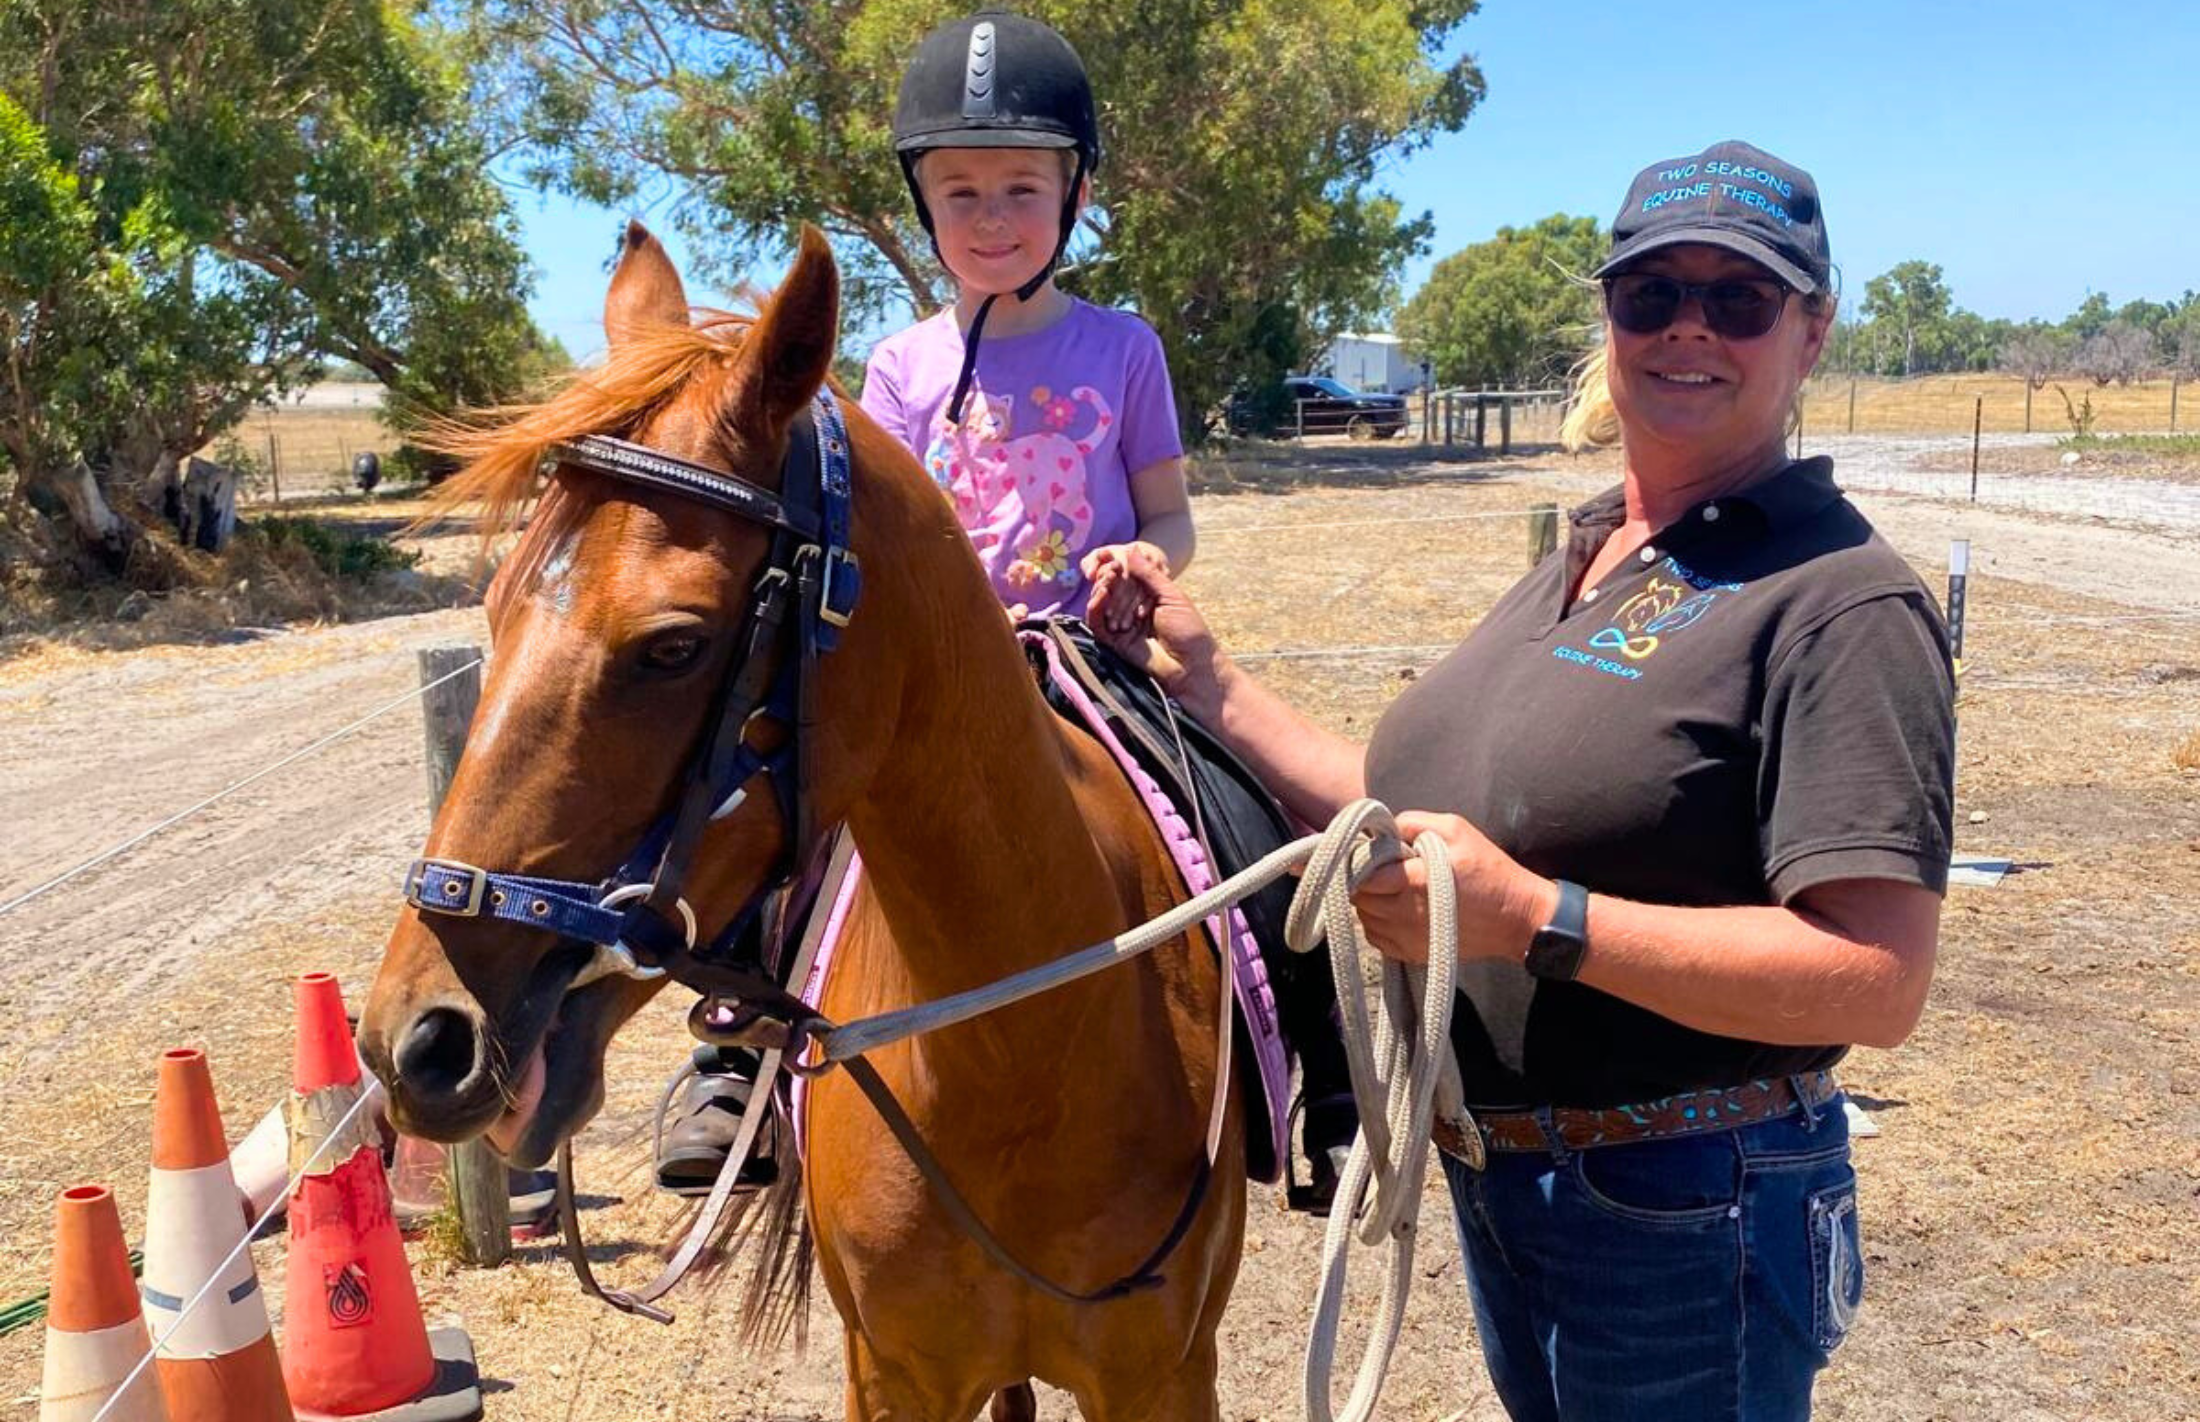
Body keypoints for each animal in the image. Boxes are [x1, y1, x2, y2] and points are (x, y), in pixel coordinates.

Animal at [356, 222, 1247, 1420]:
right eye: (493, 610)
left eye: (673, 646)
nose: (415, 1042)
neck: (1026, 1059)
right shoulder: (896, 1374)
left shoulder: (1162, 1374)